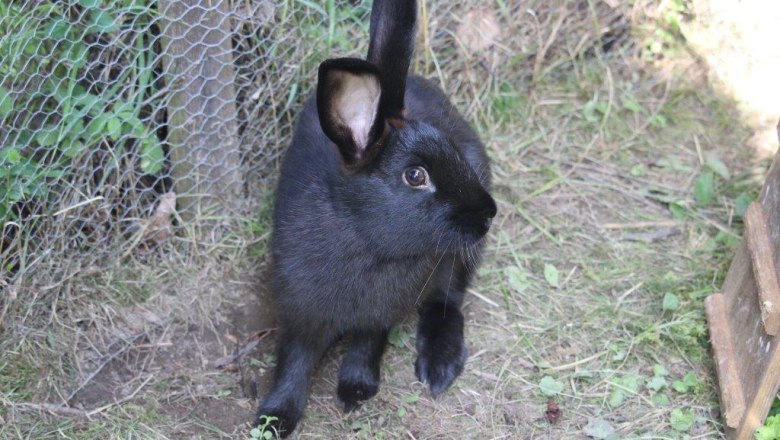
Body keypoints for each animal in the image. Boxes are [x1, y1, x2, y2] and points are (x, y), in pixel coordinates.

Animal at [258, 0, 500, 434]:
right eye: (415, 176)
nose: (488, 212)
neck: (366, 244)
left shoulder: (378, 316)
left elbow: (368, 342)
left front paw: (356, 388)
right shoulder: (299, 310)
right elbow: (294, 359)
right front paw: (274, 418)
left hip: (456, 259)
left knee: (447, 301)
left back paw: (439, 366)